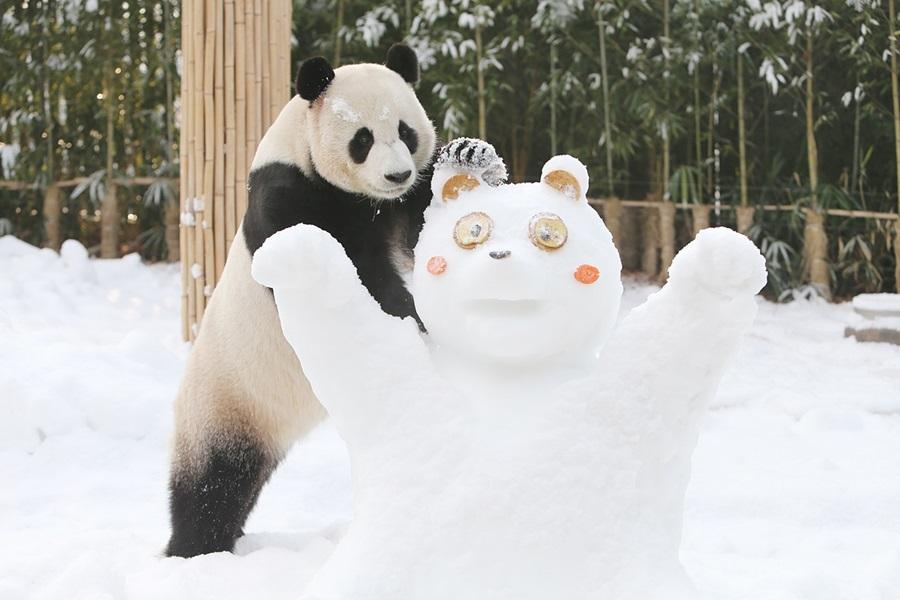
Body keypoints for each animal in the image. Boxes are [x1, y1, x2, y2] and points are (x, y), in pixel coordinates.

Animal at [165, 44, 502, 560]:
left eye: (406, 131)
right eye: (362, 138)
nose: (396, 173)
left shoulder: (401, 201)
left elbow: (422, 229)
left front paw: (475, 158)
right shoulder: (287, 195)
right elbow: (360, 272)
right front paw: (410, 316)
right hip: (227, 401)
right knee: (212, 485)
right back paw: (194, 549)